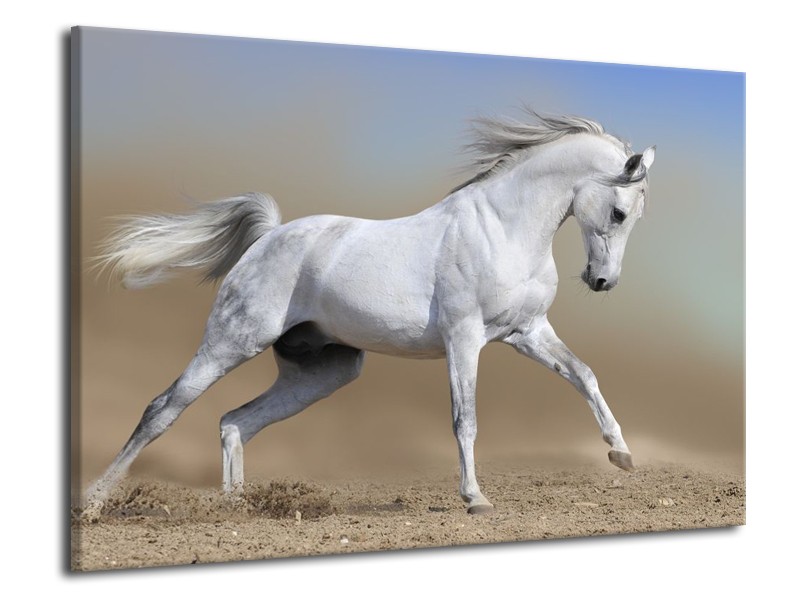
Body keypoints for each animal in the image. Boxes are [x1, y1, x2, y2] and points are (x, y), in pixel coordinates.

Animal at [84, 111, 655, 516]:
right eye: (619, 212)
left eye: (635, 217)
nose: (602, 281)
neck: (502, 228)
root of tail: (269, 236)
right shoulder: (464, 339)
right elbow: (465, 419)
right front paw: (475, 498)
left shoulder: (527, 332)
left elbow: (584, 375)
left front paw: (622, 455)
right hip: (231, 342)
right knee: (162, 409)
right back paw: (93, 502)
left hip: (323, 371)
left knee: (234, 422)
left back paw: (236, 507)